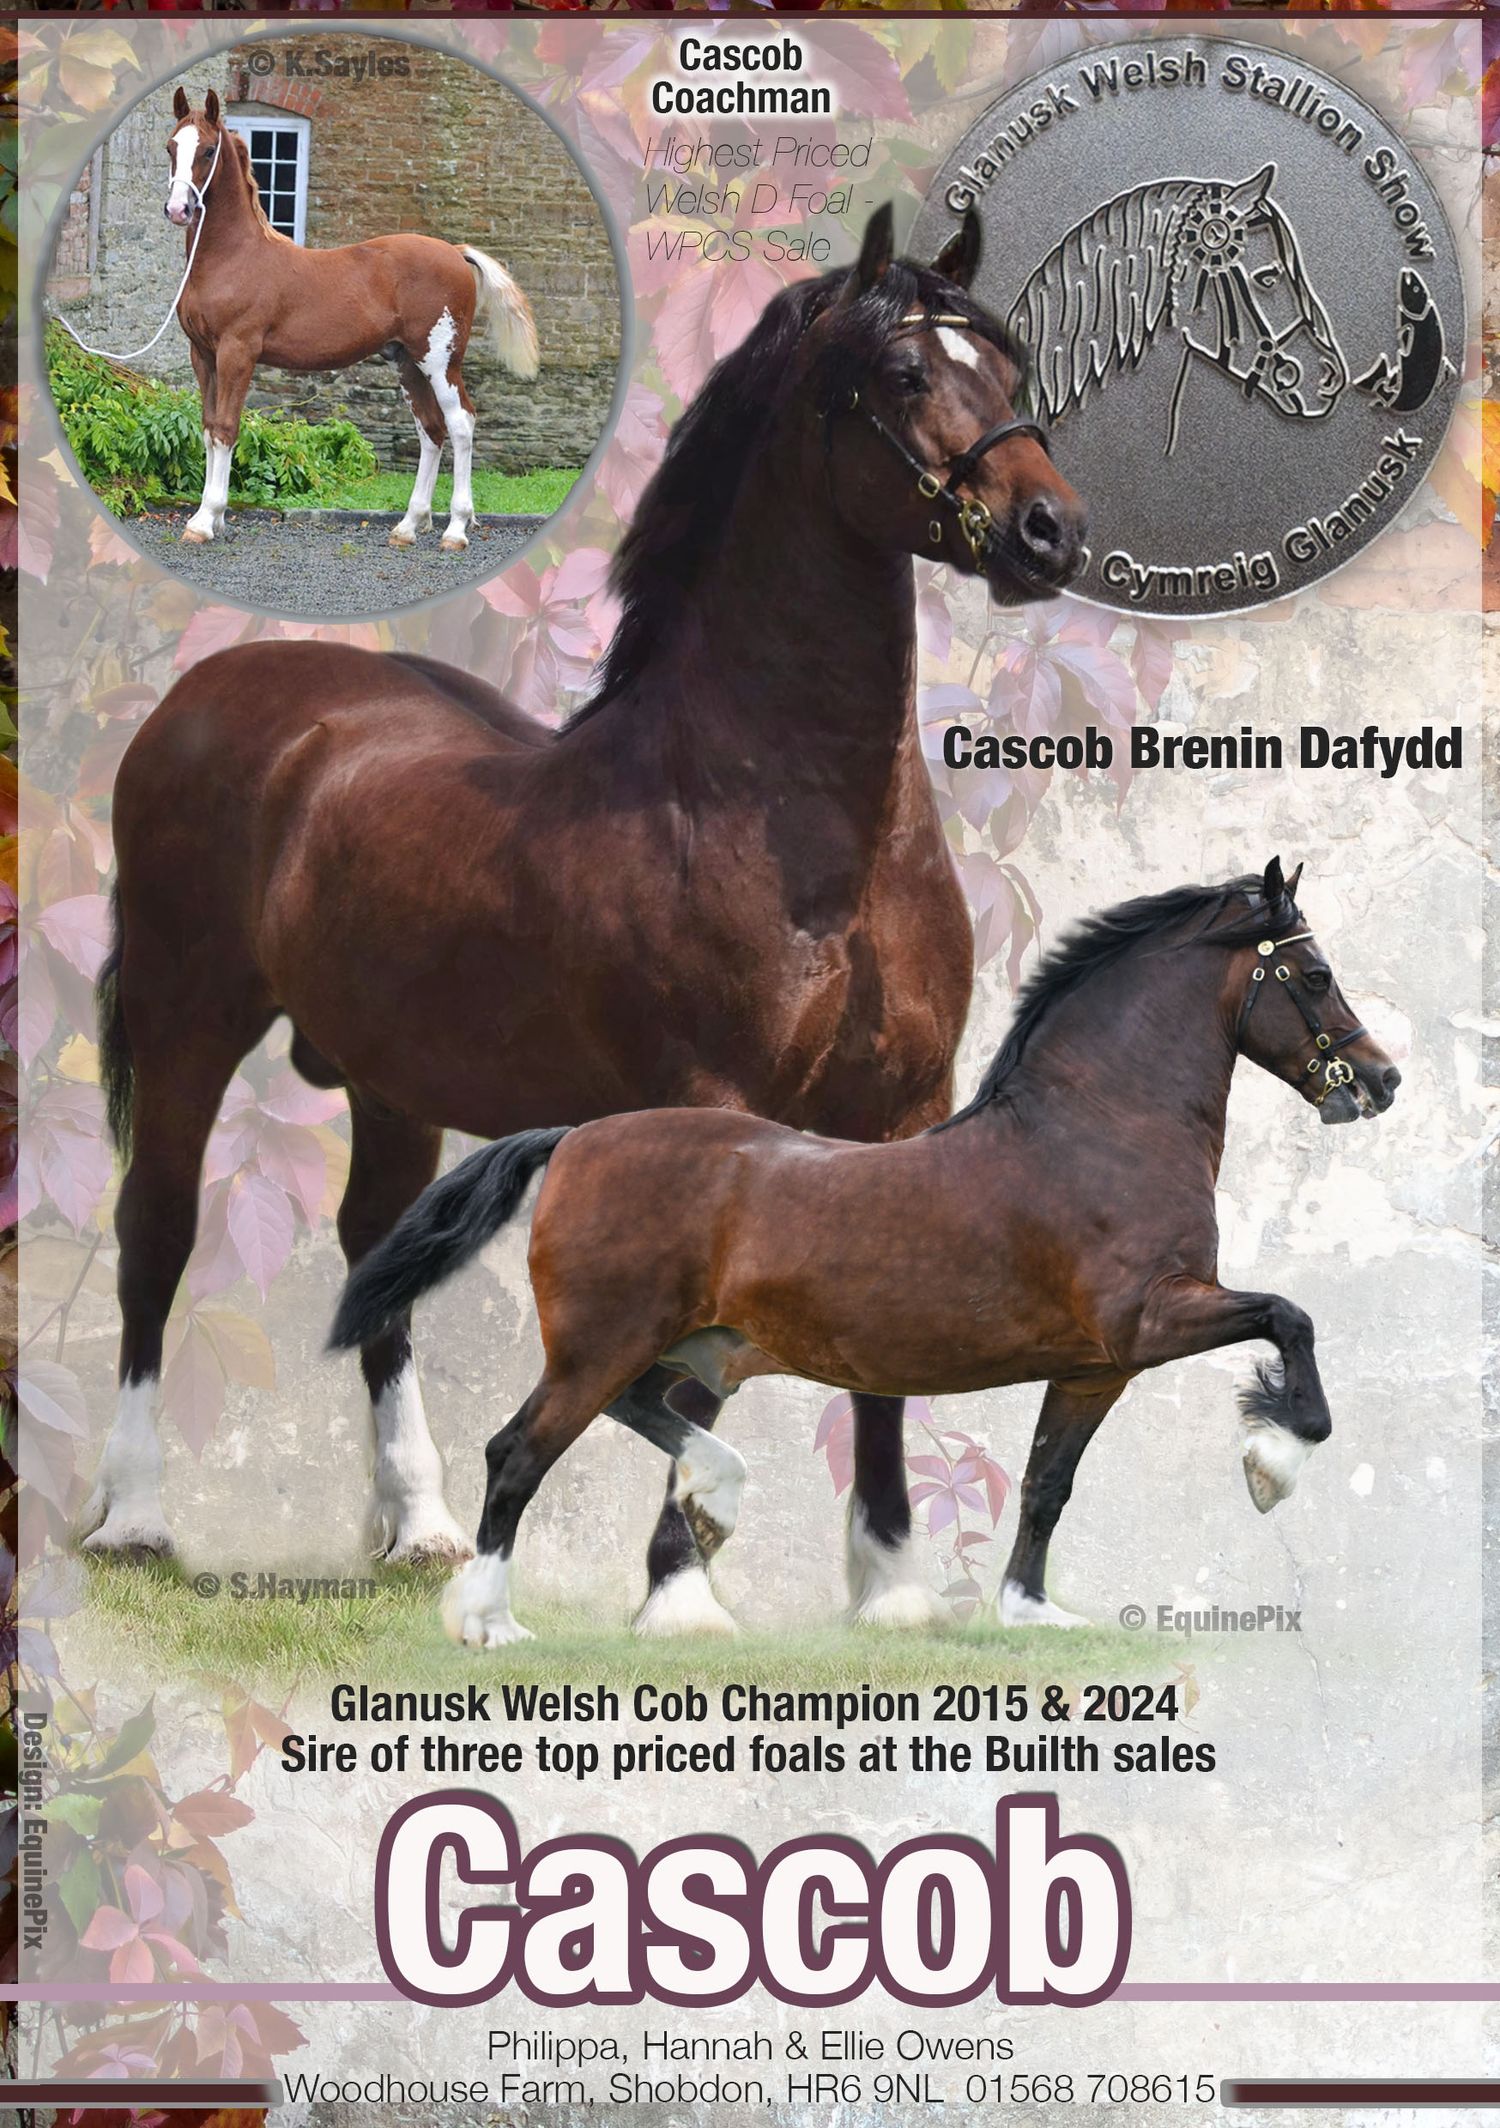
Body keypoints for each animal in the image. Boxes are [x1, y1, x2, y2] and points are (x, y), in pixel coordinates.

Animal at [84, 205, 1087, 1638]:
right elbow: (693, 1361)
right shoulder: (709, 1106)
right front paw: (681, 1596)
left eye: (1006, 365)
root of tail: (207, 696)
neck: (787, 818)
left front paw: (889, 1589)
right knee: (155, 1234)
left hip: (391, 1078)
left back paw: (421, 1528)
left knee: (377, 1257)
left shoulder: (905, 1111)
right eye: (903, 374)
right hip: (186, 1020)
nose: (1050, 533)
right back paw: (136, 1518)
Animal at [162, 87, 539, 549]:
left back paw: (455, 529)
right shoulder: (203, 355)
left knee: (461, 423)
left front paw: (205, 520)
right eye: (171, 147)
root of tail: (454, 251)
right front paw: (210, 519)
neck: (233, 257)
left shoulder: (238, 353)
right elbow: (208, 428)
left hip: (440, 361)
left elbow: (226, 429)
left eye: (209, 150)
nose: (177, 209)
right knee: (431, 430)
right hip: (407, 362)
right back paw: (408, 526)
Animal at [330, 859, 1401, 1648]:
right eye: (1313, 975)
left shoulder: (1096, 1368)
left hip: (682, 1346)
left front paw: (1032, 1612)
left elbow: (1049, 1483)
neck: (1096, 1131)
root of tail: (575, 1138)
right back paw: (490, 1623)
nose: (1381, 1080)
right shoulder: (1155, 1317)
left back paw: (714, 1498)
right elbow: (1290, 1317)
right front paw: (1272, 1462)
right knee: (517, 1453)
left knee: (645, 1418)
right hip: (601, 1346)